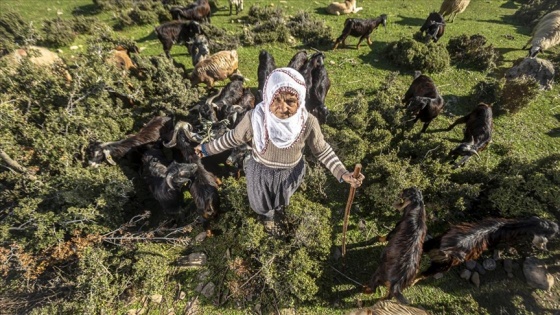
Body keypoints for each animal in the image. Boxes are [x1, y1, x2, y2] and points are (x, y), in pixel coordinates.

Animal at [418, 217, 556, 282]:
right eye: (549, 232)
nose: (556, 229)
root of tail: (444, 251)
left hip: (432, 244)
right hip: (442, 265)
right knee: (423, 275)